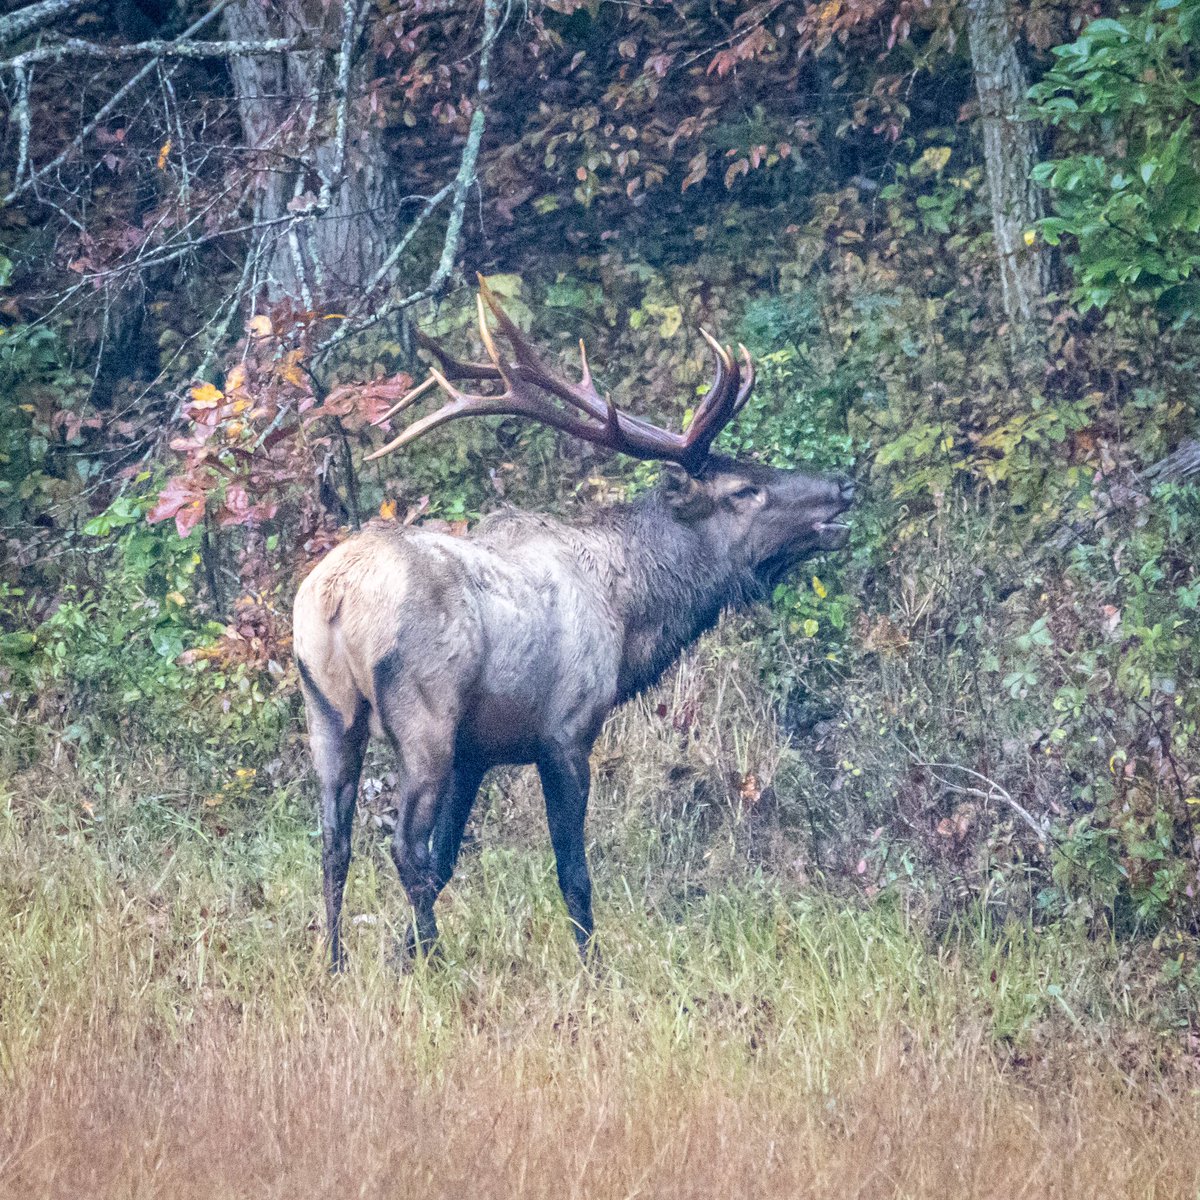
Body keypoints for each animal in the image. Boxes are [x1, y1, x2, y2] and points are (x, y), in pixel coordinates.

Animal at [292, 280, 855, 968]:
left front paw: (403, 955)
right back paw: (436, 959)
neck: (631, 619)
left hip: (327, 712)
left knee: (334, 844)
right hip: (424, 719)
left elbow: (450, 859)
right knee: (402, 847)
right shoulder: (565, 732)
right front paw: (590, 966)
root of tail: (334, 597)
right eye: (744, 489)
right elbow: (572, 871)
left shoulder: (478, 752)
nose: (843, 484)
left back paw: (337, 960)